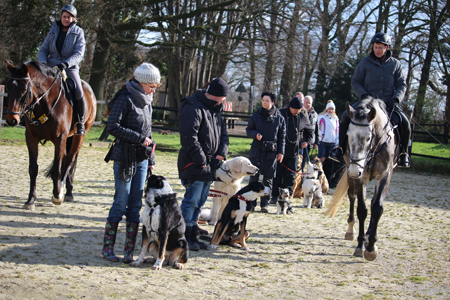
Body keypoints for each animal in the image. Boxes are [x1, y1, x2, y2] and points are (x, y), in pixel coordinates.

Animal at [4, 60, 96, 211]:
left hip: (79, 135)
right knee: (66, 160)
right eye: (8, 87)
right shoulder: (31, 138)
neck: (44, 102)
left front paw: (57, 196)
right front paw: (30, 200)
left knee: (69, 160)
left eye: (24, 90)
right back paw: (67, 191)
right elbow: (33, 169)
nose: (12, 120)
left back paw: (64, 191)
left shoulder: (60, 138)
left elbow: (56, 170)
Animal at [326, 98, 398, 260]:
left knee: (373, 202)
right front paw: (360, 245)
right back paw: (351, 231)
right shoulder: (360, 178)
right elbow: (362, 210)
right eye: (348, 136)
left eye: (368, 138)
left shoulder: (385, 176)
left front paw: (371, 246)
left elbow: (377, 208)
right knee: (352, 197)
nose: (355, 170)